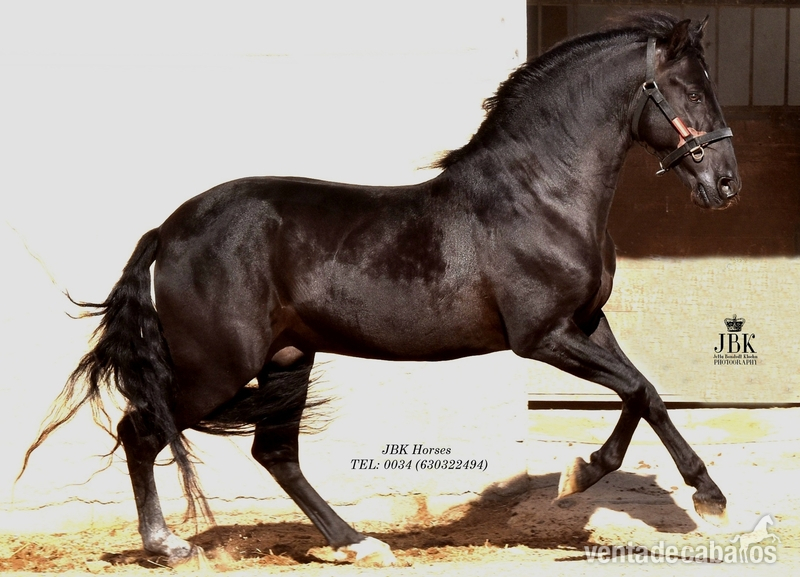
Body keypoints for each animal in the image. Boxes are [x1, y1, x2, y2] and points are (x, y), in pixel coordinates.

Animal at [20, 12, 740, 567]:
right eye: (684, 89)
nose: (727, 183)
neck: (539, 194)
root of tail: (168, 231)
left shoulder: (588, 324)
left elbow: (645, 392)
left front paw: (691, 491)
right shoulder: (544, 337)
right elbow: (638, 389)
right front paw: (603, 479)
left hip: (286, 359)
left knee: (272, 452)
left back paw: (356, 542)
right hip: (217, 368)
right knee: (142, 429)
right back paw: (168, 545)